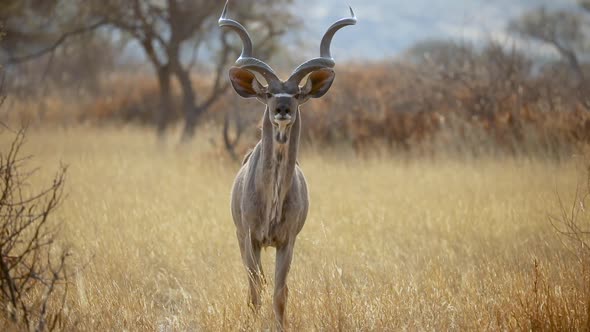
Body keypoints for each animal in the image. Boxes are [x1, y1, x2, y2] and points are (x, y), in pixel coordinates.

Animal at [221, 1, 356, 330]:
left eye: (296, 94)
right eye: (269, 93)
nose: (282, 109)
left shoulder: (287, 241)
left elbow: (280, 291)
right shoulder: (250, 237)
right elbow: (255, 289)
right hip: (240, 238)